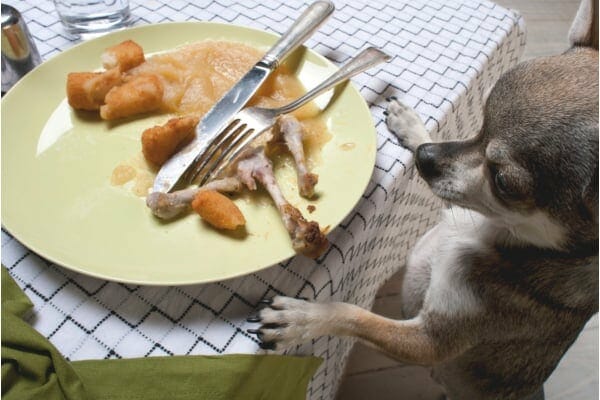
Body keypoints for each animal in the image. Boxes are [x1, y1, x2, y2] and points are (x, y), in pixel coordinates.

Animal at [248, 1, 596, 398]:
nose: (424, 159)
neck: (492, 232)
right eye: (479, 126)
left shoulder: (429, 343)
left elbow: (354, 315)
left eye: (503, 182)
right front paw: (412, 127)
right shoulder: (454, 197)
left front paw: (300, 320)